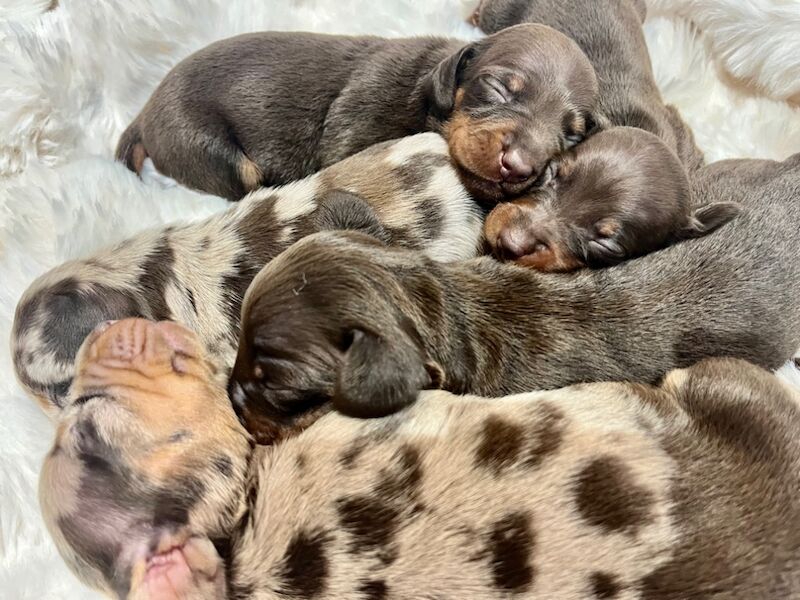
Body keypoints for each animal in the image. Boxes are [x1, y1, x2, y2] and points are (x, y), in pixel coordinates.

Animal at [115, 24, 596, 203]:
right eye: (498, 89)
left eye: (571, 134)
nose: (518, 167)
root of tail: (144, 114)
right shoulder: (355, 130)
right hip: (205, 144)